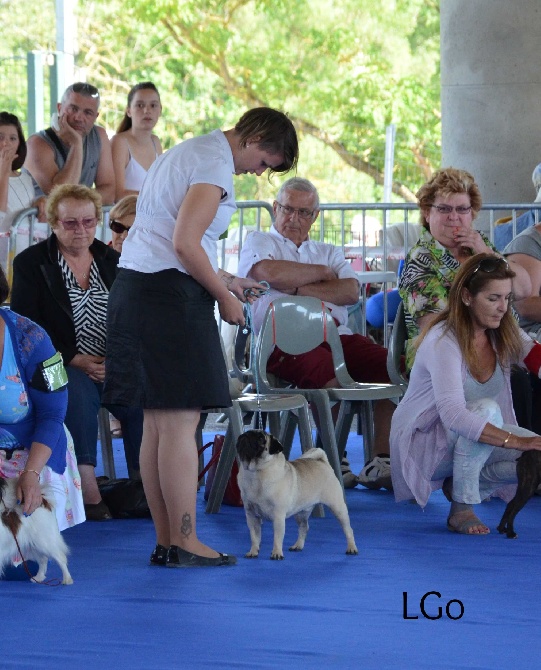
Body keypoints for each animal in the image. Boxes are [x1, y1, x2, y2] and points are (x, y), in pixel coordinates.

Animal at [234, 430, 356, 560]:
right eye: (245, 434)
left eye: (261, 438)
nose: (245, 436)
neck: (255, 473)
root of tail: (322, 462)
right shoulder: (252, 516)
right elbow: (254, 537)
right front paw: (253, 551)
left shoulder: (278, 516)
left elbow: (277, 537)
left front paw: (277, 553)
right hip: (301, 513)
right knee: (304, 527)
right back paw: (298, 546)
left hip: (338, 507)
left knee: (348, 529)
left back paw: (352, 548)